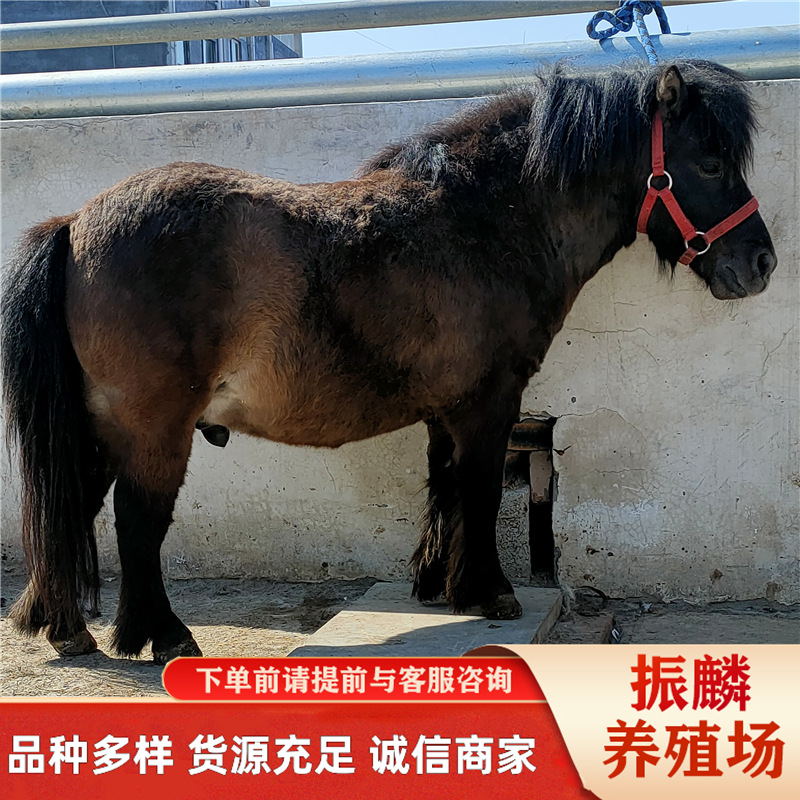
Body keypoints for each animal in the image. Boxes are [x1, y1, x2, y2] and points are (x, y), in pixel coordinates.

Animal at [2, 60, 776, 664]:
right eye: (709, 163)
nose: (761, 263)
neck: (484, 221)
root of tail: (75, 222)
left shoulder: (445, 408)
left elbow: (443, 489)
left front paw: (438, 585)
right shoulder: (490, 401)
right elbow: (479, 491)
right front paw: (490, 591)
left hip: (104, 427)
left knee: (75, 506)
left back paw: (65, 627)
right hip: (153, 427)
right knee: (137, 520)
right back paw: (162, 636)